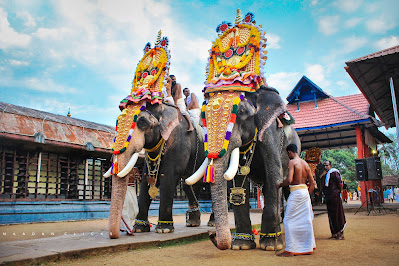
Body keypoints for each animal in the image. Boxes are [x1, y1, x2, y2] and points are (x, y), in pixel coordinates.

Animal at [104, 101, 209, 238]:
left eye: (142, 121)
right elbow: (146, 178)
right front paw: (139, 229)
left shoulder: (179, 142)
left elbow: (168, 176)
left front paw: (164, 229)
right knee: (189, 184)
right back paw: (192, 223)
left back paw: (211, 223)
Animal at [187, 86, 300, 250]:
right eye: (204, 120)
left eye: (241, 112)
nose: (211, 235)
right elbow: (238, 181)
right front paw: (241, 245)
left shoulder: (270, 132)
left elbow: (274, 177)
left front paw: (271, 246)